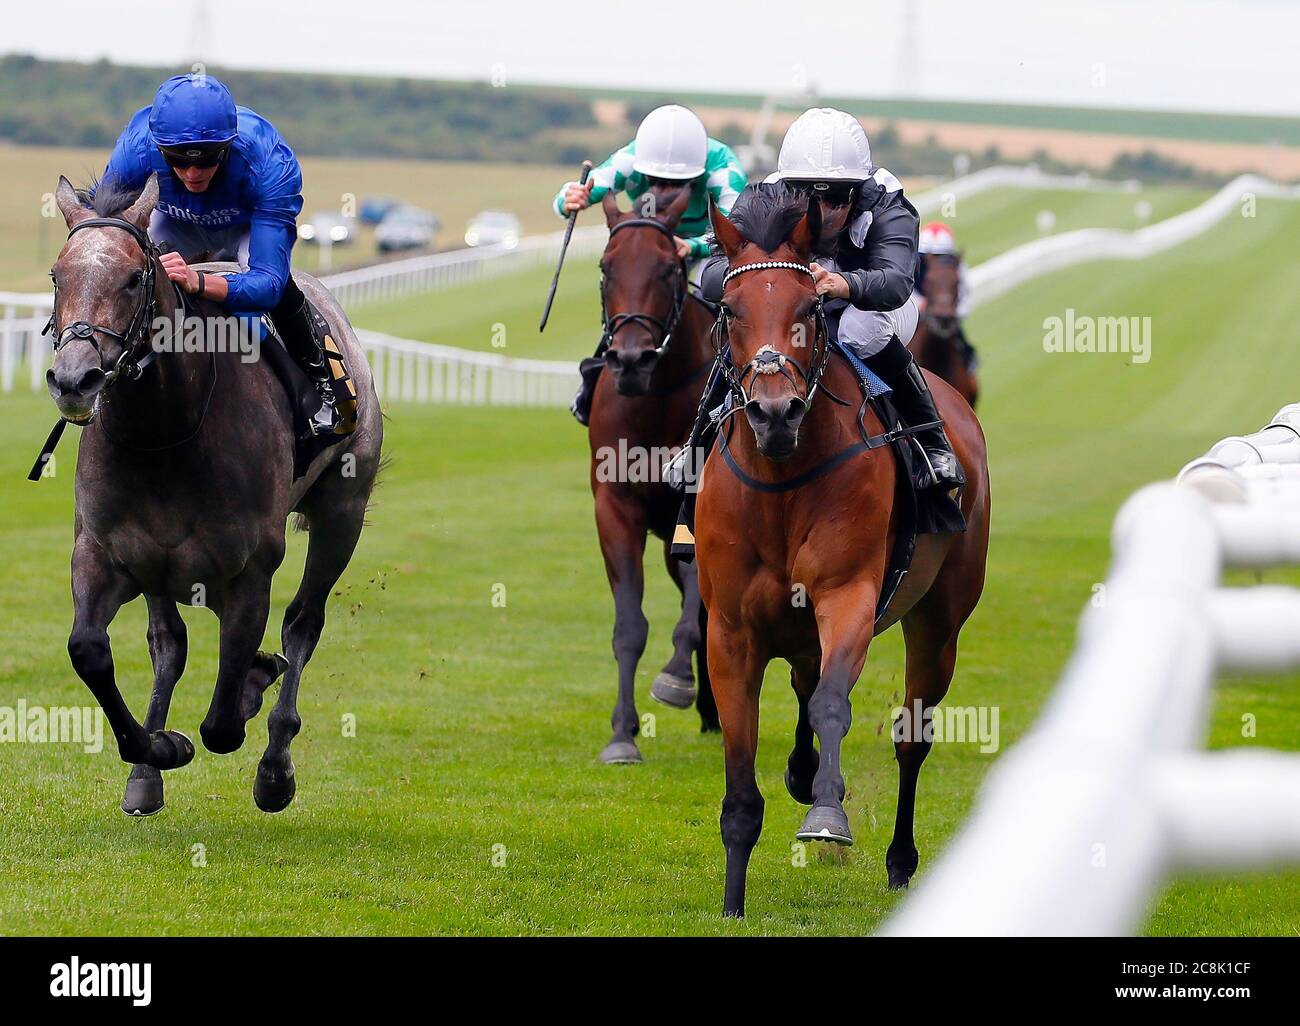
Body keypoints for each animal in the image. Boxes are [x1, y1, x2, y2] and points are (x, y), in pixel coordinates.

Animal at [44, 178, 379, 816]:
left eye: (133, 279)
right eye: (57, 275)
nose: (75, 380)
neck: (167, 433)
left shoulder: (250, 571)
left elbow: (222, 723)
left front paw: (248, 700)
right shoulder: (102, 552)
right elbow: (88, 649)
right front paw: (158, 748)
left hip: (342, 512)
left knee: (303, 623)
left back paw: (274, 764)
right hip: (158, 567)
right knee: (168, 643)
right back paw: (147, 775)